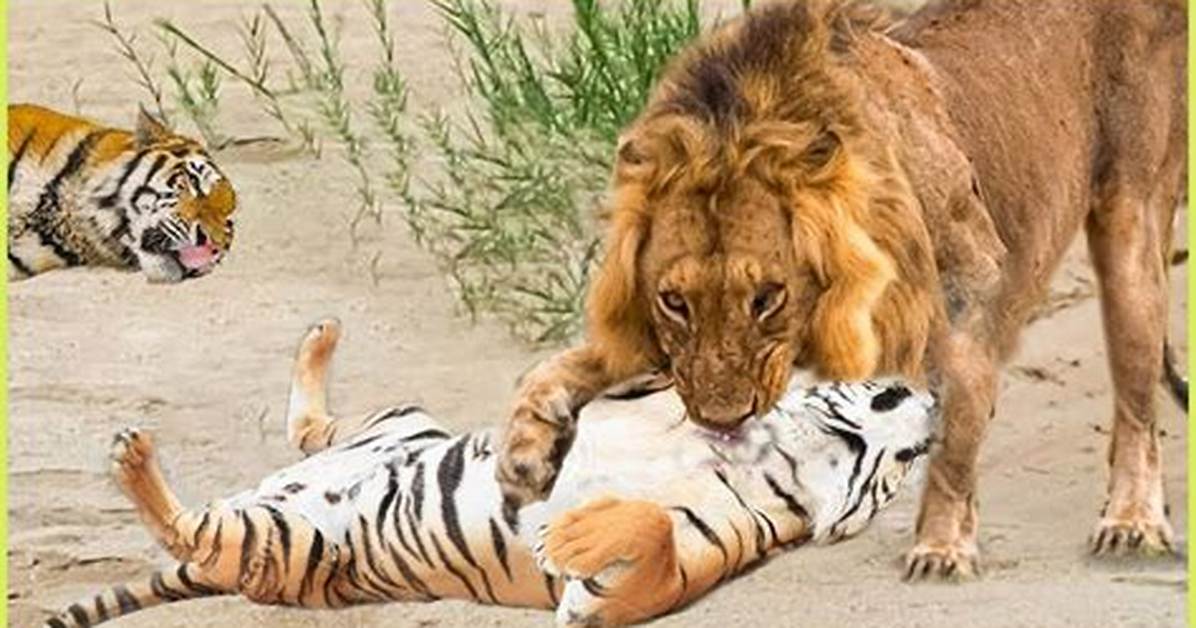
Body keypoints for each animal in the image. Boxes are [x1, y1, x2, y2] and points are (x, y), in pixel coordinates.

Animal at [44, 319, 936, 627]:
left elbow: (647, 529)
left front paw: (567, 534)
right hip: (394, 422)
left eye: (901, 465)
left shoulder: (649, 585)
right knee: (308, 429)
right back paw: (321, 334)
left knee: (193, 527)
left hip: (285, 542)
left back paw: (133, 456)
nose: (927, 401)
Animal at [494, 0, 1187, 581]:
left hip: (1131, 225)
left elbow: (956, 431)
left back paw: (1130, 521)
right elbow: (554, 368)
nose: (721, 421)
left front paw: (941, 548)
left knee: (1137, 403)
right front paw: (523, 458)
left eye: (768, 297)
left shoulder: (972, 284)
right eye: (675, 302)